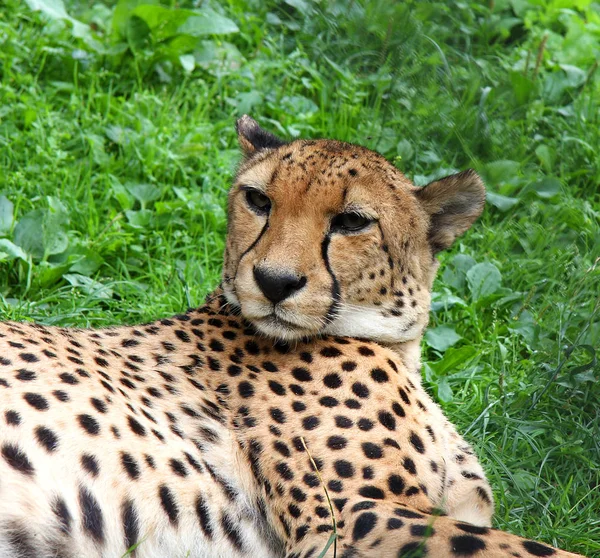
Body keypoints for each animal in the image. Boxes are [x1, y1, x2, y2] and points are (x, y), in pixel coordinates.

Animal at [0, 116, 584, 556]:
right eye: (258, 200)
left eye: (352, 221)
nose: (274, 281)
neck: (398, 348)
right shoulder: (350, 518)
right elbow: (537, 551)